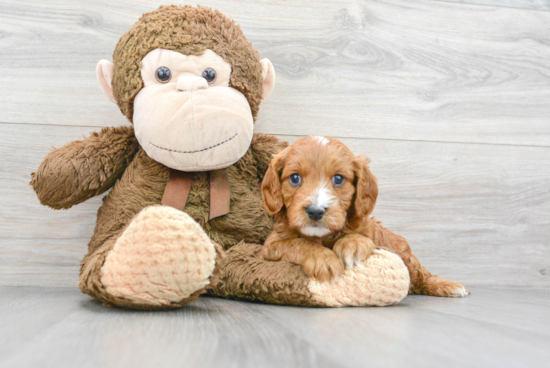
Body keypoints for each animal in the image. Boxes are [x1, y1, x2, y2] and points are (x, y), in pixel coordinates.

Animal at [264, 137, 470, 298]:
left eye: (338, 179)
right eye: (295, 178)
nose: (315, 211)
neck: (323, 235)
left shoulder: (368, 230)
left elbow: (359, 236)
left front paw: (353, 245)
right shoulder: (272, 246)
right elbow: (299, 243)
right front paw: (324, 259)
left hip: (403, 252)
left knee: (421, 274)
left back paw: (447, 285)